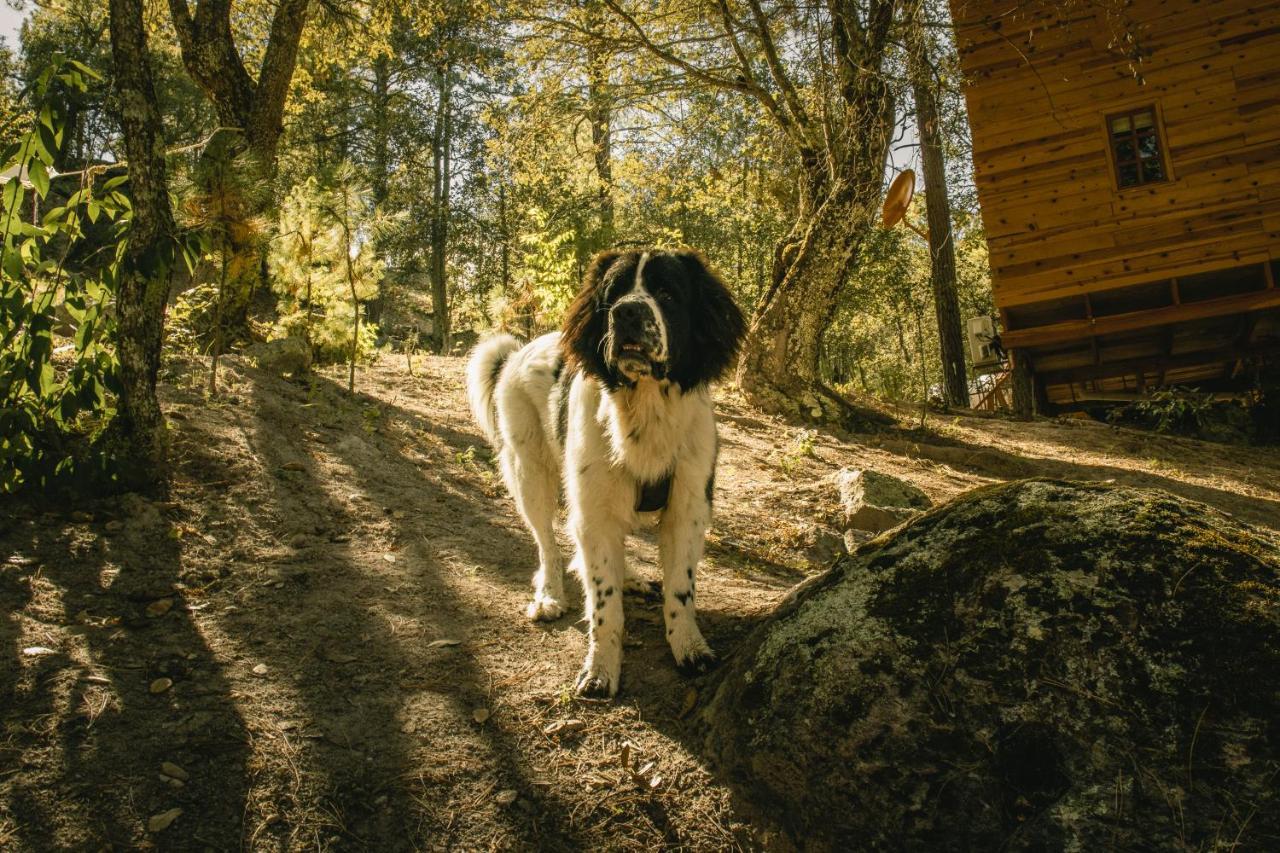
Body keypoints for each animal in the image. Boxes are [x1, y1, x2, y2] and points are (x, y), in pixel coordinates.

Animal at [465, 247, 747, 696]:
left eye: (668, 293)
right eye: (612, 294)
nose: (626, 311)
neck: (645, 410)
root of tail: (516, 352)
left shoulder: (688, 508)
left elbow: (681, 589)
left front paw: (689, 647)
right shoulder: (592, 508)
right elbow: (604, 601)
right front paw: (600, 669)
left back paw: (630, 577)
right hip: (530, 474)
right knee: (547, 544)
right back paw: (549, 596)